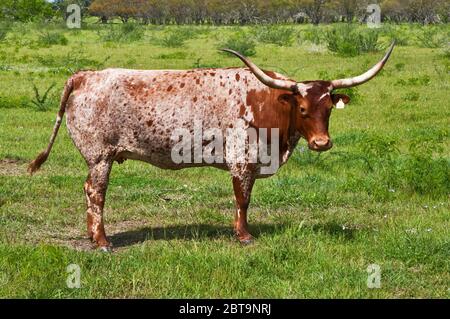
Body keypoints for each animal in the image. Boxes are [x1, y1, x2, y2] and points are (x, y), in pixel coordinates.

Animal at [29, 43, 394, 252]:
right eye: (302, 109)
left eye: (328, 108)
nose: (322, 143)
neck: (269, 102)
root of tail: (85, 76)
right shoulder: (242, 161)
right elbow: (243, 200)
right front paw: (244, 236)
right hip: (100, 157)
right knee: (95, 193)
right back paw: (102, 242)